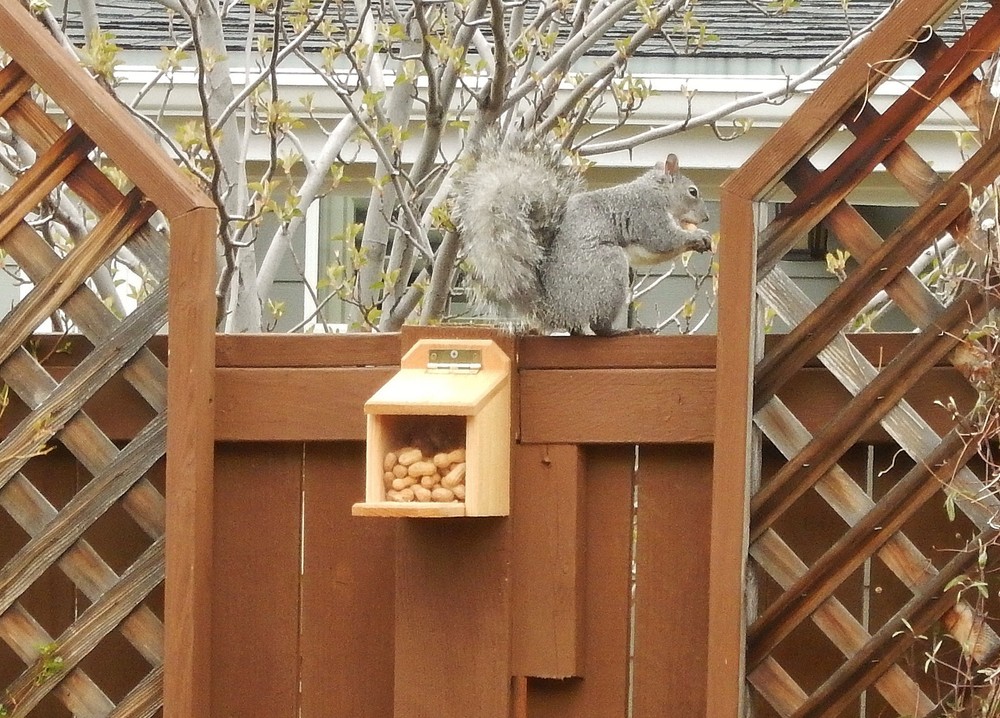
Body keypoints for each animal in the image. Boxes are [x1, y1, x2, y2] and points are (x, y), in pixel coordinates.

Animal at [452, 131, 714, 336]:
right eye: (692, 192)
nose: (707, 218)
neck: (659, 192)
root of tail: (555, 309)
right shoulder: (647, 214)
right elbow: (663, 240)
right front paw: (698, 237)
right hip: (607, 270)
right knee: (599, 326)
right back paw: (623, 331)